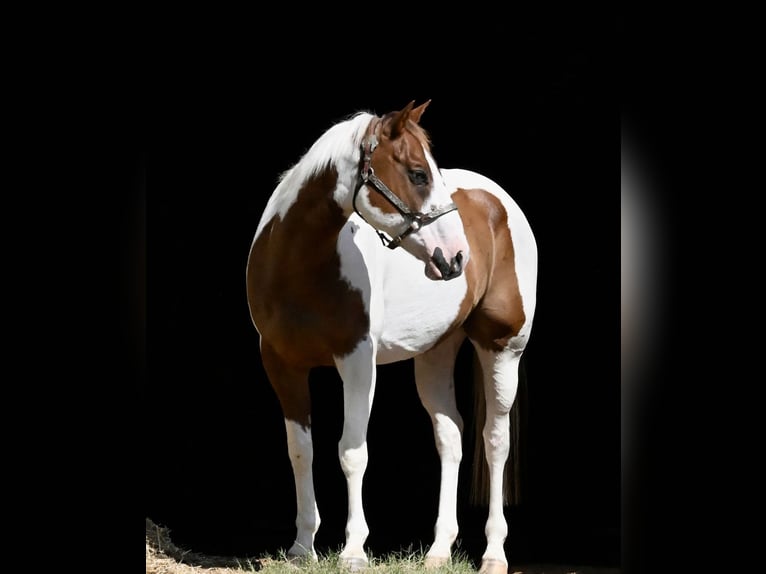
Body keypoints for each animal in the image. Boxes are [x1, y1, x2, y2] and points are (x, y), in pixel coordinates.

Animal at [246, 100, 537, 574]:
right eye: (418, 174)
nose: (456, 257)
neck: (300, 266)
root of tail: (498, 200)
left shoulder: (357, 361)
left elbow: (352, 452)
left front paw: (353, 550)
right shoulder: (280, 363)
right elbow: (300, 450)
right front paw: (302, 548)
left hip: (502, 349)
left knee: (495, 441)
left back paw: (494, 553)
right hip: (436, 352)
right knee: (451, 438)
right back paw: (438, 551)